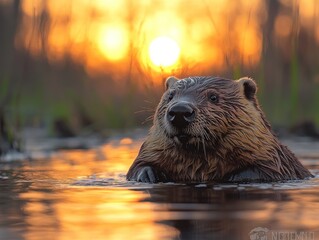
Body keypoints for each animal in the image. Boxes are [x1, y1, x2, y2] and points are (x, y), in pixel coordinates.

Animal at [126, 76, 314, 183]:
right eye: (170, 96)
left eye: (214, 97)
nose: (180, 111)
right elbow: (139, 165)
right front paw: (148, 175)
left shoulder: (273, 158)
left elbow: (265, 170)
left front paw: (231, 177)